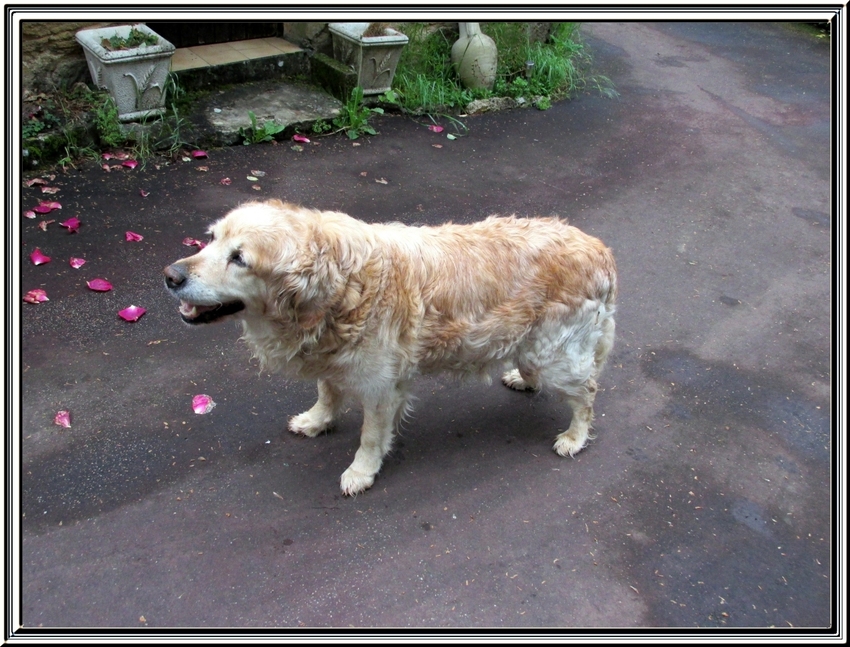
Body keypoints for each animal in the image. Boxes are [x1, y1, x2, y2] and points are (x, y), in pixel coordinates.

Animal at [164, 200, 616, 494]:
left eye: (239, 258)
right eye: (210, 239)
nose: (171, 275)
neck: (342, 286)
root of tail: (600, 249)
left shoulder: (381, 387)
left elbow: (370, 436)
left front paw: (361, 472)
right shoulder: (333, 358)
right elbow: (326, 391)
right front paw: (316, 420)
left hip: (556, 353)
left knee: (587, 392)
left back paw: (575, 436)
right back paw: (521, 378)